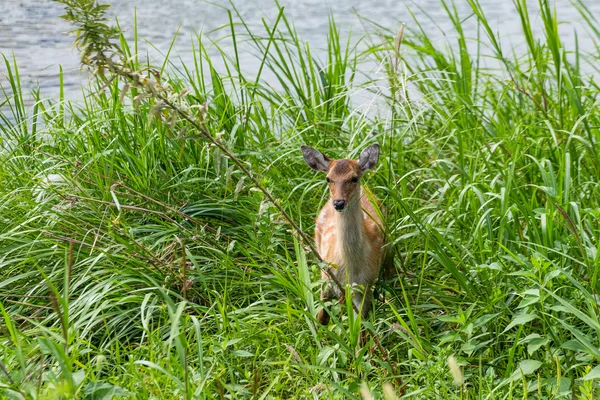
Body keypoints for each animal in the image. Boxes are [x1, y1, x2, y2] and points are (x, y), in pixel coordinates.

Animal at [300, 144, 390, 324]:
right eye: (328, 179)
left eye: (354, 178)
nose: (339, 203)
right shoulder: (326, 277)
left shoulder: (365, 286)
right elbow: (322, 316)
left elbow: (359, 327)